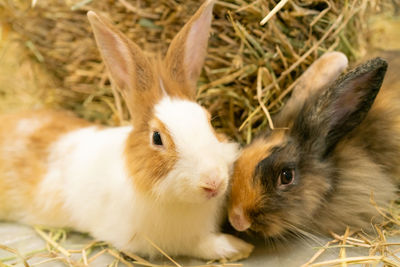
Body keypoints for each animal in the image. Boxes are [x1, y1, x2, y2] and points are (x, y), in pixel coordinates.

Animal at [0, 0, 253, 262]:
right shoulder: (170, 241)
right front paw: (236, 247)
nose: (213, 182)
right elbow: (201, 244)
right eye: (157, 138)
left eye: (209, 121)